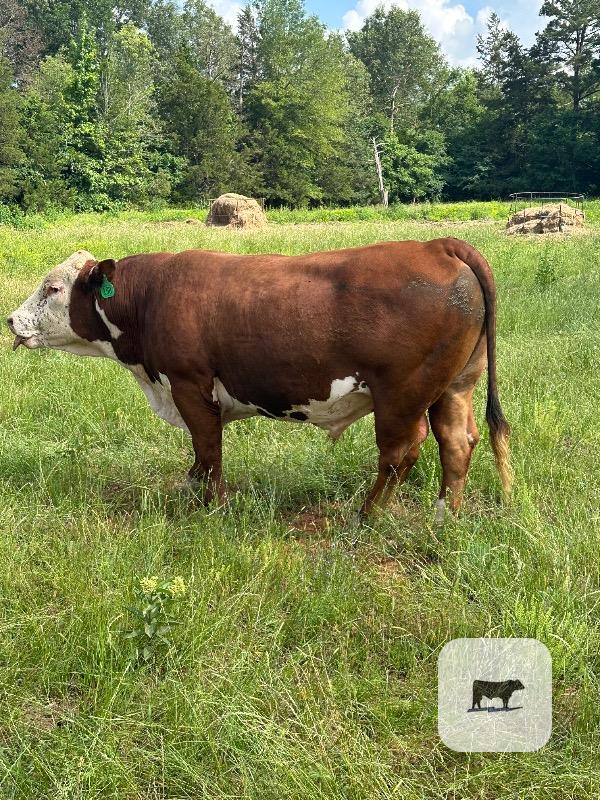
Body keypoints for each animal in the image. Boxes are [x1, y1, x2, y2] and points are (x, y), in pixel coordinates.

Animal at [7, 239, 512, 518]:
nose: (11, 320)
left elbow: (208, 448)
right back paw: (445, 515)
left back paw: (368, 514)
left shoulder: (190, 384)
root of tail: (436, 244)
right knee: (457, 441)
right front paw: (192, 490)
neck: (149, 296)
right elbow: (200, 453)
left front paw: (214, 506)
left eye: (53, 288)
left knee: (400, 452)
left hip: (402, 395)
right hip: (455, 385)